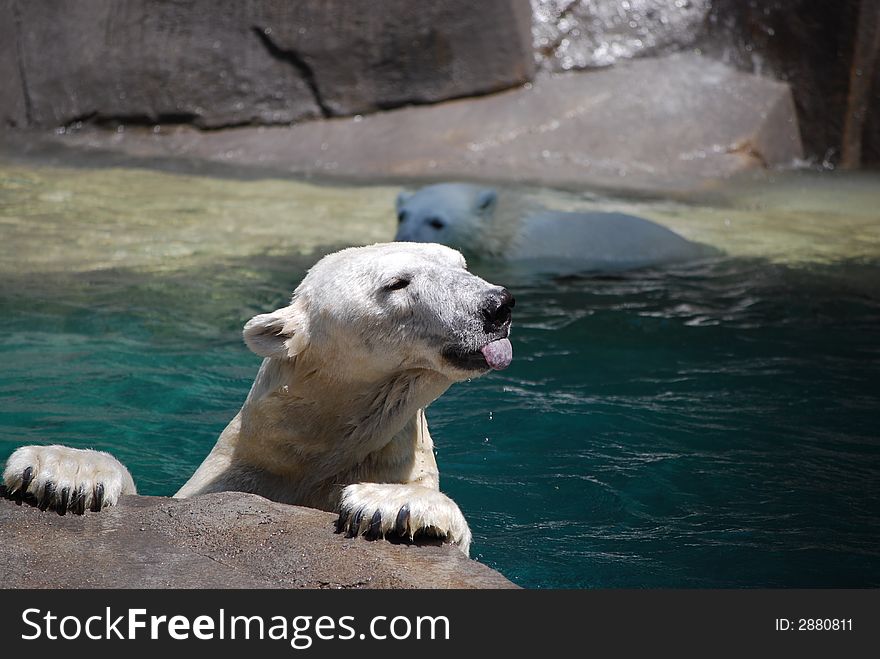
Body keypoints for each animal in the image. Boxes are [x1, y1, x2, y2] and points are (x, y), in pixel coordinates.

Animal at [1, 242, 516, 556]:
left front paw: (391, 504)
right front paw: (61, 470)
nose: (496, 306)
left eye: (459, 264)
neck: (324, 446)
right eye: (397, 283)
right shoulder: (233, 476)